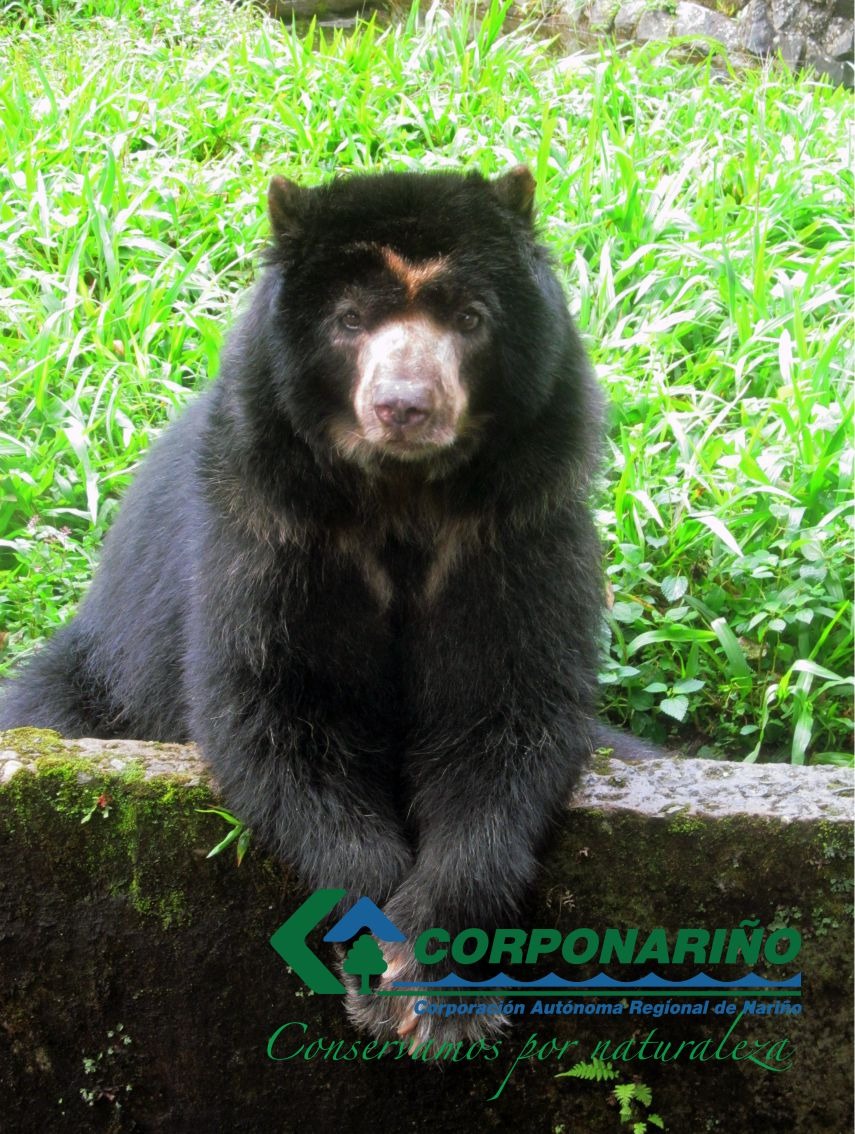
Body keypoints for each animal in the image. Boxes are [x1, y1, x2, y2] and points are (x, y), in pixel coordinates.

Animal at [1, 166, 612, 1043]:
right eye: (349, 321)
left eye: (469, 318)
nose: (404, 405)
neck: (402, 494)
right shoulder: (269, 530)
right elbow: (276, 710)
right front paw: (380, 964)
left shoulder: (519, 528)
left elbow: (505, 714)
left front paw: (439, 991)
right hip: (91, 681)